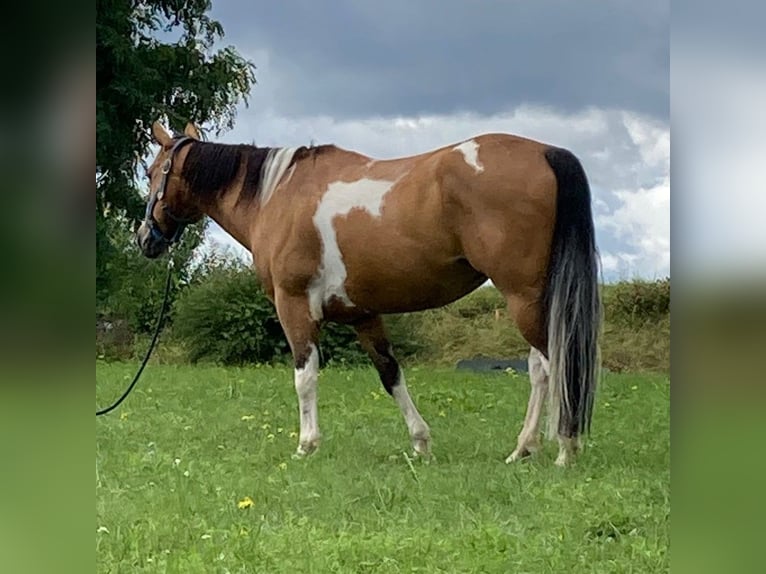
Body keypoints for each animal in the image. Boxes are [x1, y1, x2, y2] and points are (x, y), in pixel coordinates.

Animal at [140, 121, 608, 468]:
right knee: (542, 367)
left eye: (151, 171)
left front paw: (307, 444)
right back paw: (527, 448)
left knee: (555, 362)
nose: (146, 237)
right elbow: (391, 374)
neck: (279, 194)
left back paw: (560, 449)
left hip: (523, 296)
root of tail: (546, 152)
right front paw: (420, 442)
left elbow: (305, 377)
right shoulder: (363, 314)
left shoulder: (294, 307)